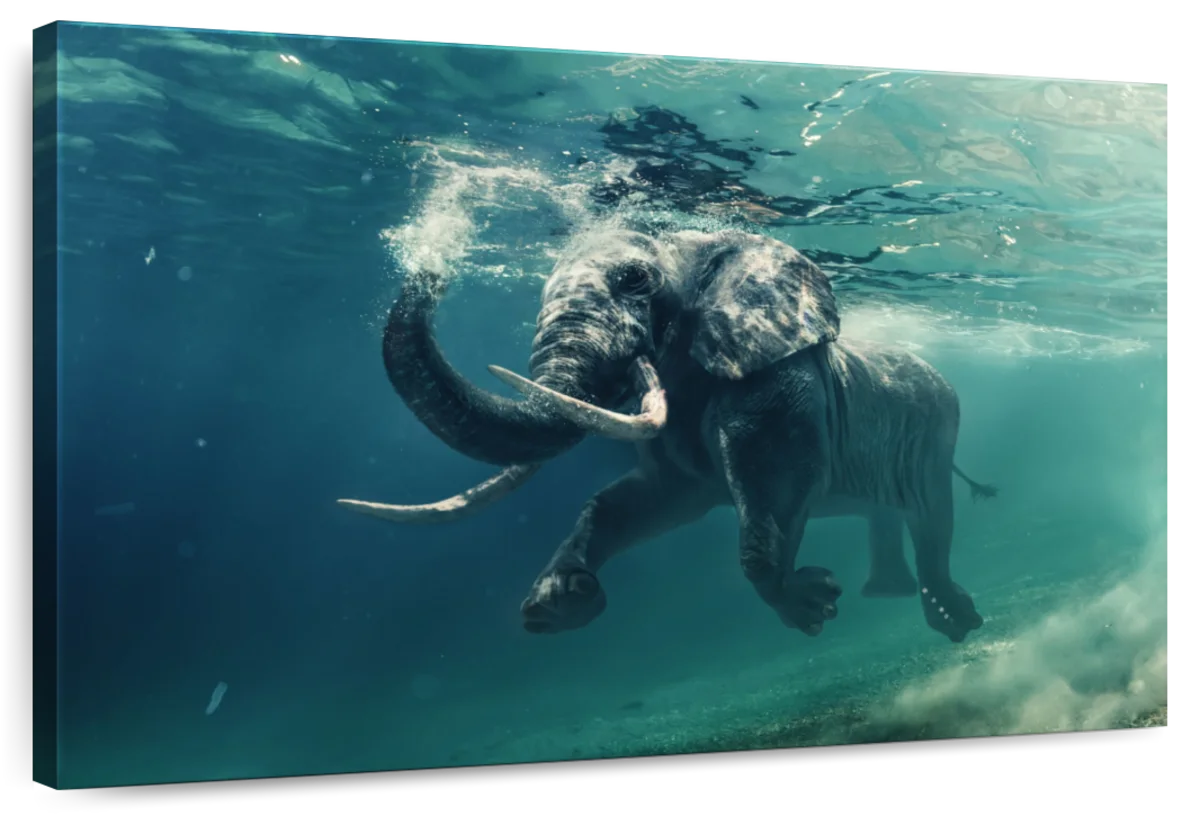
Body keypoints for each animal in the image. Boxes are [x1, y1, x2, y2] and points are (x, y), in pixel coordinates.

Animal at [339, 228, 997, 643]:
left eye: (634, 280)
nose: (433, 270)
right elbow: (646, 500)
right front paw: (557, 605)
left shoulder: (776, 377)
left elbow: (777, 481)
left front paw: (811, 605)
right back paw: (891, 597)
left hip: (939, 429)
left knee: (932, 519)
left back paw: (951, 620)